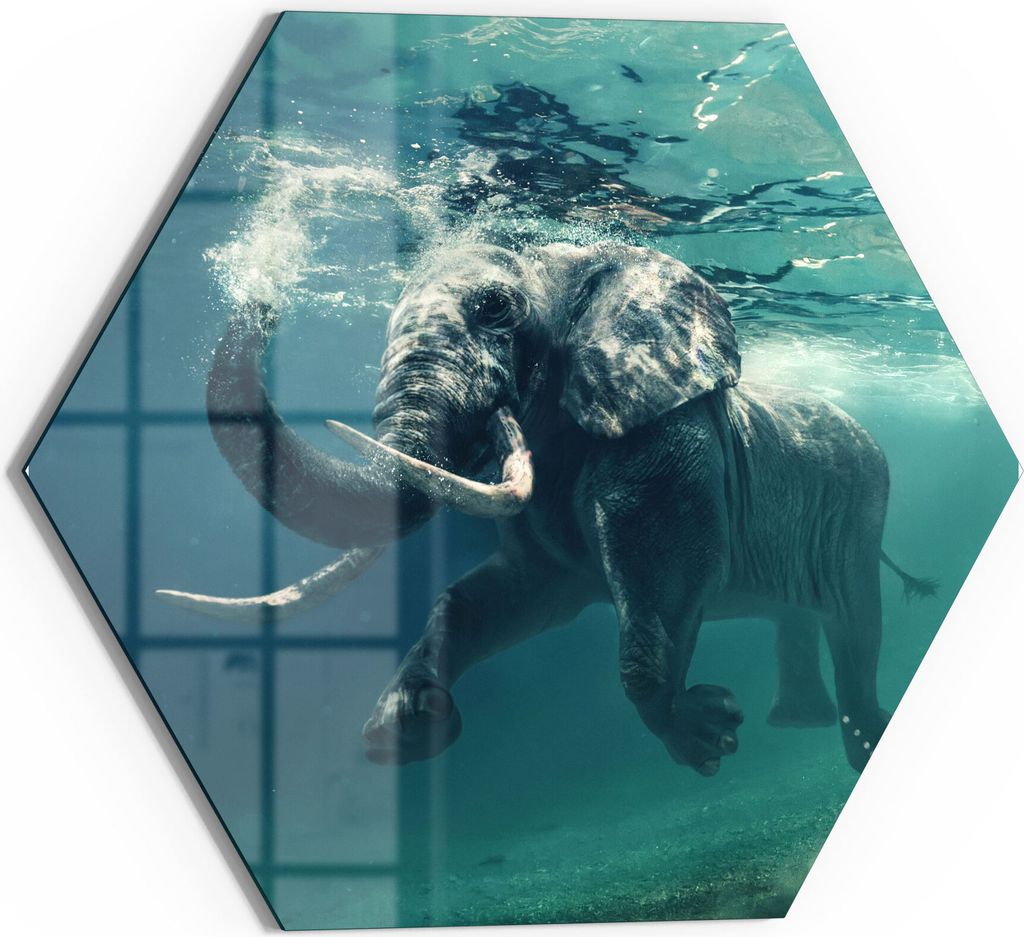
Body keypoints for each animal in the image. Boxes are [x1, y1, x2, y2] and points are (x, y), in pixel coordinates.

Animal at [158, 240, 935, 775]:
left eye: (494, 309)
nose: (265, 299)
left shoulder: (664, 438)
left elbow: (667, 575)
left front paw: (708, 735)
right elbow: (496, 598)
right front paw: (409, 722)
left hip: (863, 504)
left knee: (855, 620)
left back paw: (858, 745)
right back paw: (799, 725)